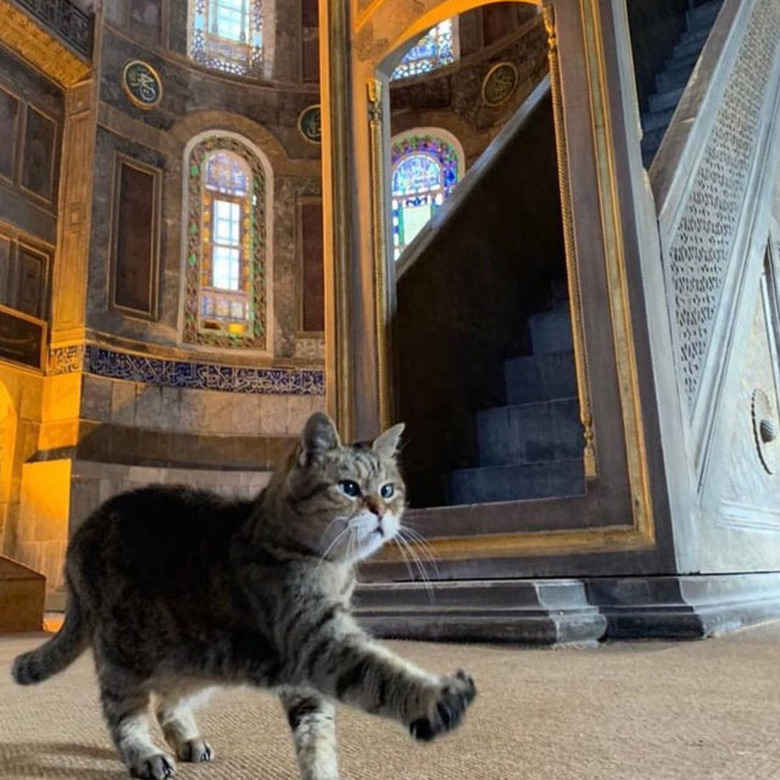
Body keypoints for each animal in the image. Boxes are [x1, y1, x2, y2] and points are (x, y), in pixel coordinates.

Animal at [12, 412, 476, 780]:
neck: (330, 568)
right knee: (124, 714)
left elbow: (317, 735)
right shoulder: (319, 644)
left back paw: (187, 738)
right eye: (348, 487)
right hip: (123, 658)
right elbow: (383, 675)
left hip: (196, 660)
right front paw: (437, 698)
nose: (381, 513)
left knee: (166, 701)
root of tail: (78, 535)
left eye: (388, 490)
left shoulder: (306, 673)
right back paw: (145, 754)